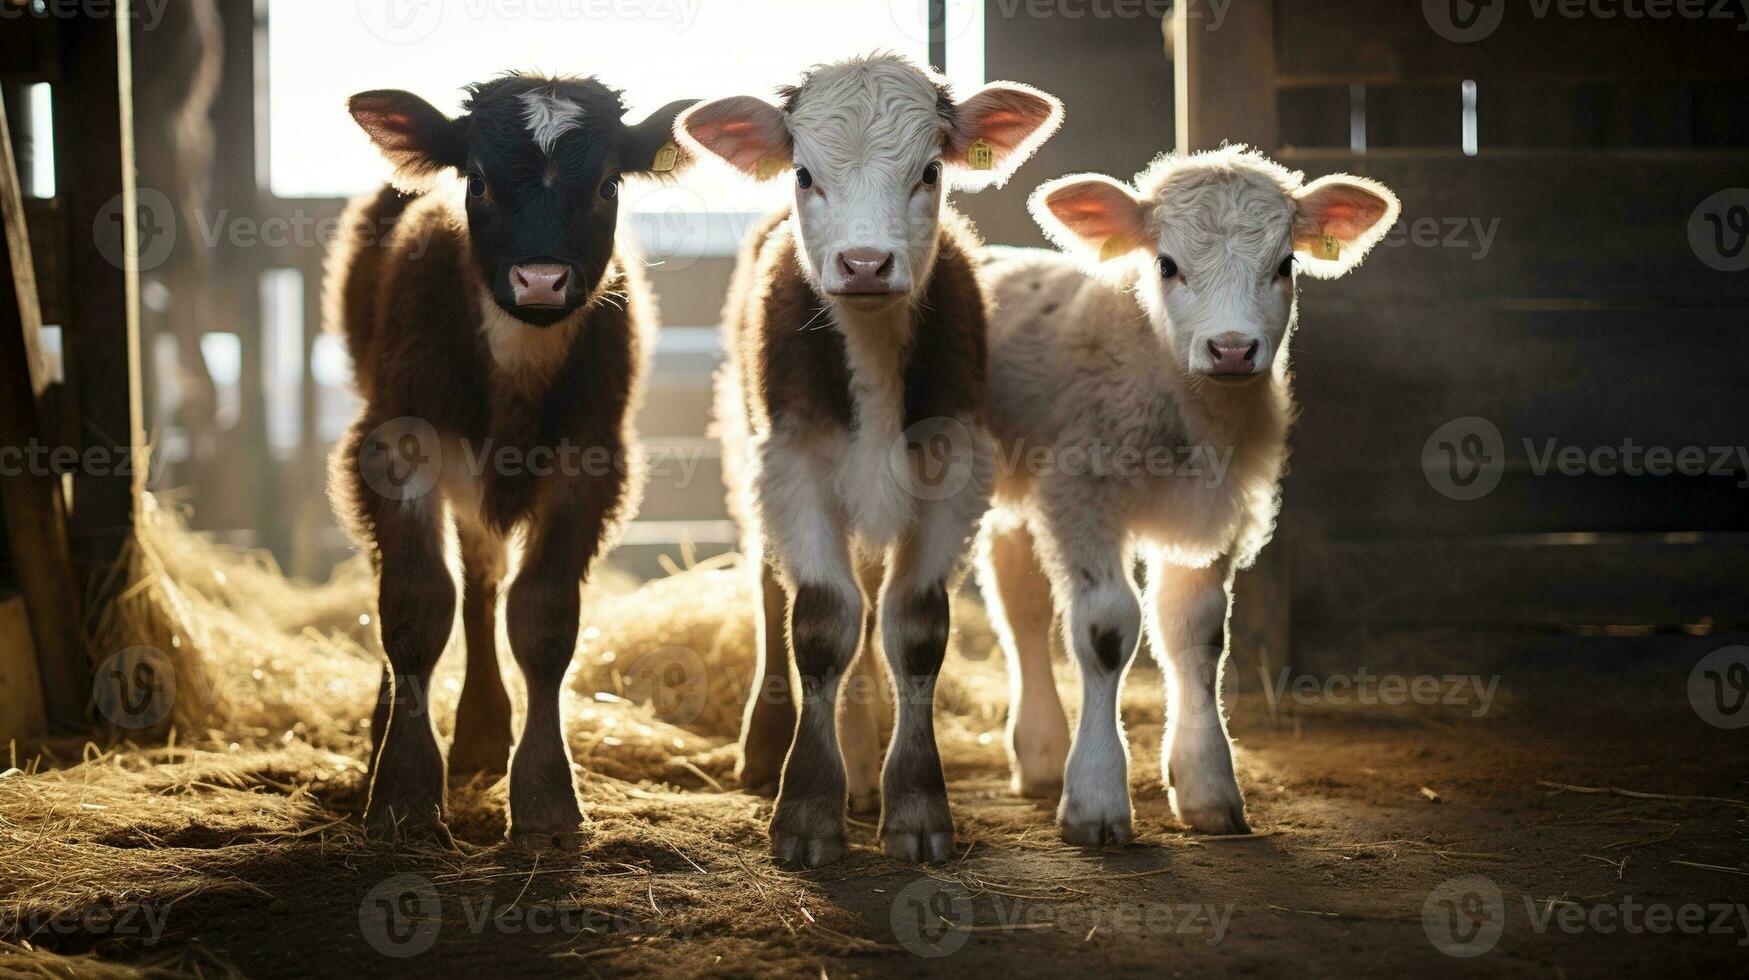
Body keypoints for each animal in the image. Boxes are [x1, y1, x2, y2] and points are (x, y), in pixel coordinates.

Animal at [325, 72, 692, 847]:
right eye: (479, 181)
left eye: (608, 183)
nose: (541, 281)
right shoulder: (395, 448)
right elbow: (414, 606)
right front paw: (403, 790)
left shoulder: (592, 466)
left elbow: (542, 619)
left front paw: (546, 798)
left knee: (484, 581)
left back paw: (483, 732)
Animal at [979, 143, 1399, 843]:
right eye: (1167, 264)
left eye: (1285, 264)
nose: (1231, 349)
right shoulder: (1082, 496)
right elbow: (1105, 629)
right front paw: (1096, 798)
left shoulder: (1214, 514)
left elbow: (1196, 635)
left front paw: (1207, 787)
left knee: (1020, 604)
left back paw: (1038, 754)